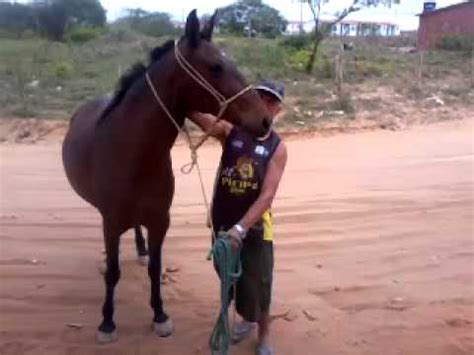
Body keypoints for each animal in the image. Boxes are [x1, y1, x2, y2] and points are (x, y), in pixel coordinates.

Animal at [61, 10, 272, 344]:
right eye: (216, 66)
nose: (264, 120)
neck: (134, 153)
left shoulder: (160, 220)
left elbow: (155, 268)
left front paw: (160, 315)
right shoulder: (111, 222)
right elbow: (113, 273)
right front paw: (107, 322)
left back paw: (140, 249)